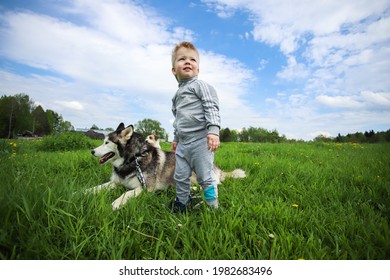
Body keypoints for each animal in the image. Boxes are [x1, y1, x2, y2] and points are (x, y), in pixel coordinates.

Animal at [88, 122, 245, 210]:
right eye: (103, 141)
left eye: (107, 143)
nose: (92, 151)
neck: (133, 159)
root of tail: (218, 168)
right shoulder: (116, 182)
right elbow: (97, 187)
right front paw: (83, 192)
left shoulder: (146, 188)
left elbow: (127, 193)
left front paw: (116, 203)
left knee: (212, 185)